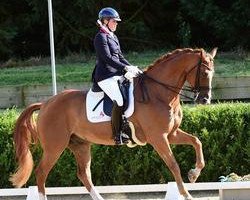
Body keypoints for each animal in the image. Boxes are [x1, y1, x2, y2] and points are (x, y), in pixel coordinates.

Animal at [9, 47, 217, 199]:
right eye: (204, 72)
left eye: (212, 72)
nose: (205, 100)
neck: (159, 93)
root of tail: (45, 103)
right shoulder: (158, 137)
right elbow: (173, 164)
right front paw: (186, 194)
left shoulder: (171, 134)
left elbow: (196, 141)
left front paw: (194, 174)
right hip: (55, 146)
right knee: (41, 172)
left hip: (80, 145)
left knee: (84, 174)